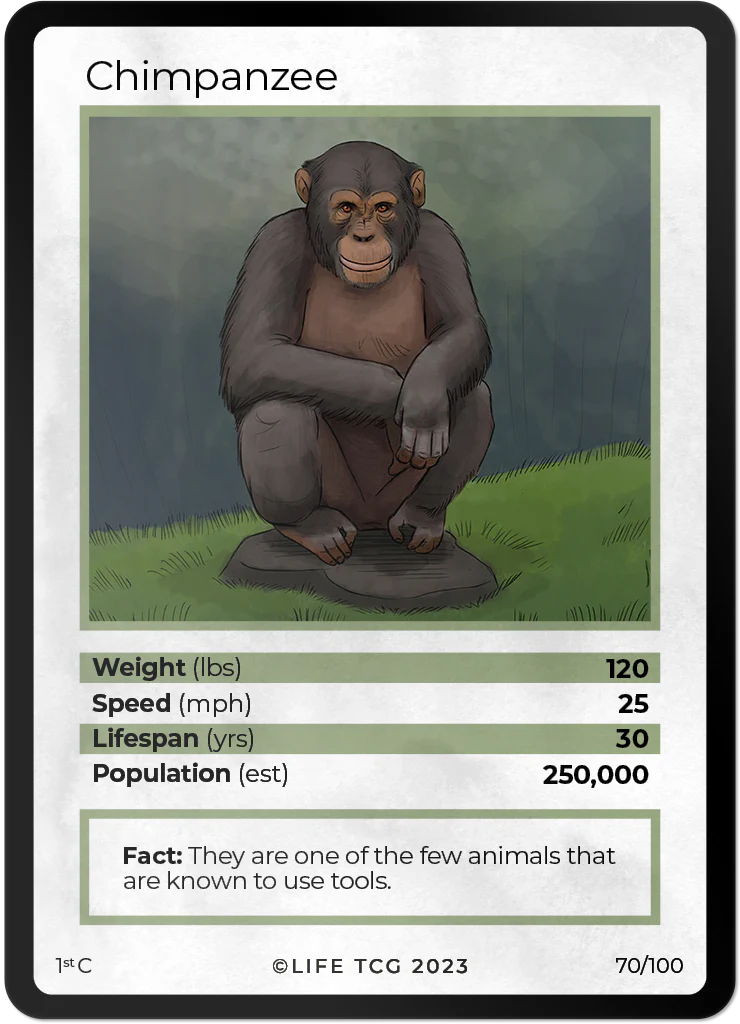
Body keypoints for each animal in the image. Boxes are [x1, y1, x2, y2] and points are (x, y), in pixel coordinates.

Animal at [220, 140, 493, 567]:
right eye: (346, 208)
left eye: (382, 208)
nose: (364, 236)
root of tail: (370, 528)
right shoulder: (274, 243)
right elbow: (255, 351)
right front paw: (395, 394)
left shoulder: (440, 239)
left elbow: (463, 326)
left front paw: (425, 397)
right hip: (342, 498)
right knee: (277, 408)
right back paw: (310, 527)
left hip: (393, 501)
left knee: (473, 394)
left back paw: (422, 519)